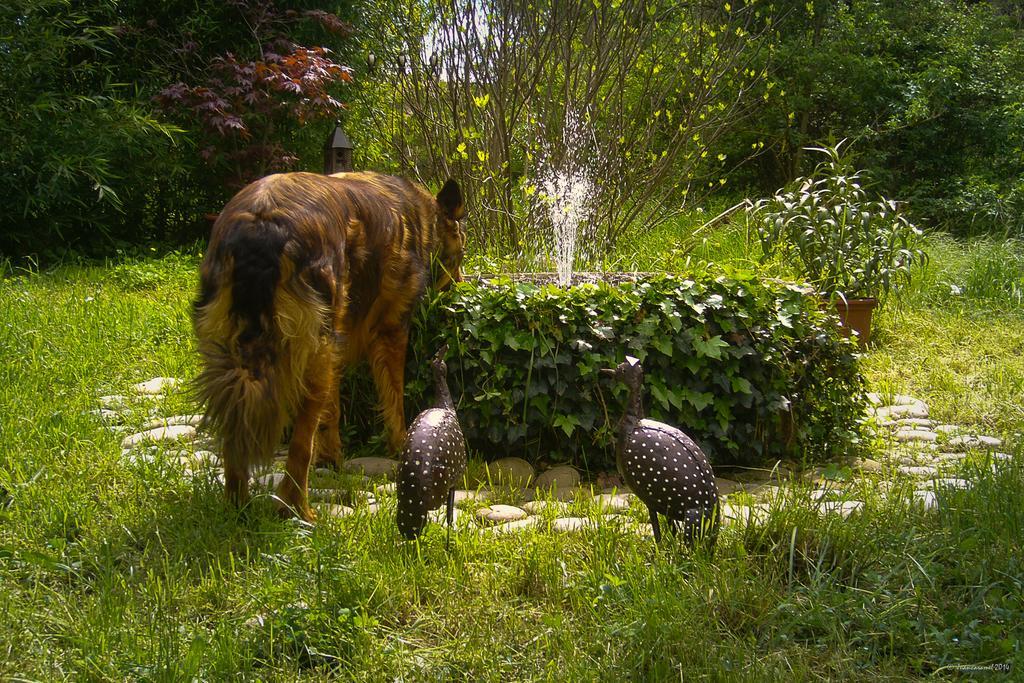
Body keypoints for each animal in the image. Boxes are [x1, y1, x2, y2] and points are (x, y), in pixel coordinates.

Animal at [192, 172, 464, 524]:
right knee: (299, 445)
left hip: (245, 350)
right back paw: (297, 509)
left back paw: (238, 506)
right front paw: (399, 445)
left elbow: (332, 410)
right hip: (312, 348)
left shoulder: (337, 341)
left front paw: (332, 458)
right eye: (461, 254)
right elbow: (394, 400)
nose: (462, 283)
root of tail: (261, 225)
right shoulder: (391, 330)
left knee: (238, 431)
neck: (422, 215)